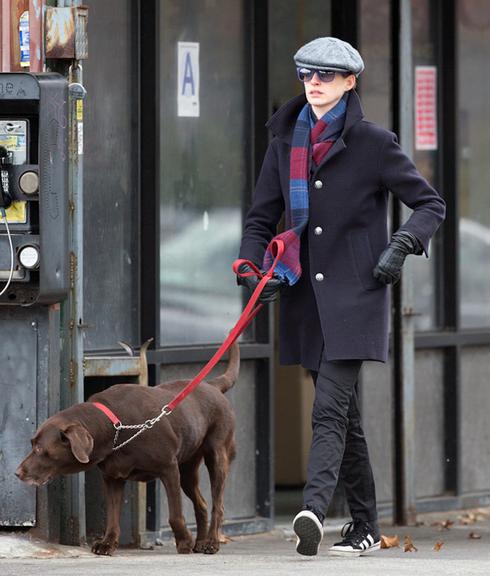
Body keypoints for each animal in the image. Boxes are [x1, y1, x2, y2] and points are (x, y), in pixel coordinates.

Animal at [15, 342, 237, 552]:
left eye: (39, 449)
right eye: (32, 444)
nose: (17, 473)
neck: (114, 426)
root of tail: (212, 385)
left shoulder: (169, 469)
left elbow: (175, 515)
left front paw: (184, 542)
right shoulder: (113, 478)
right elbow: (113, 516)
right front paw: (107, 543)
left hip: (215, 455)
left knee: (218, 504)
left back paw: (211, 542)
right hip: (188, 469)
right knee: (202, 504)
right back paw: (201, 542)